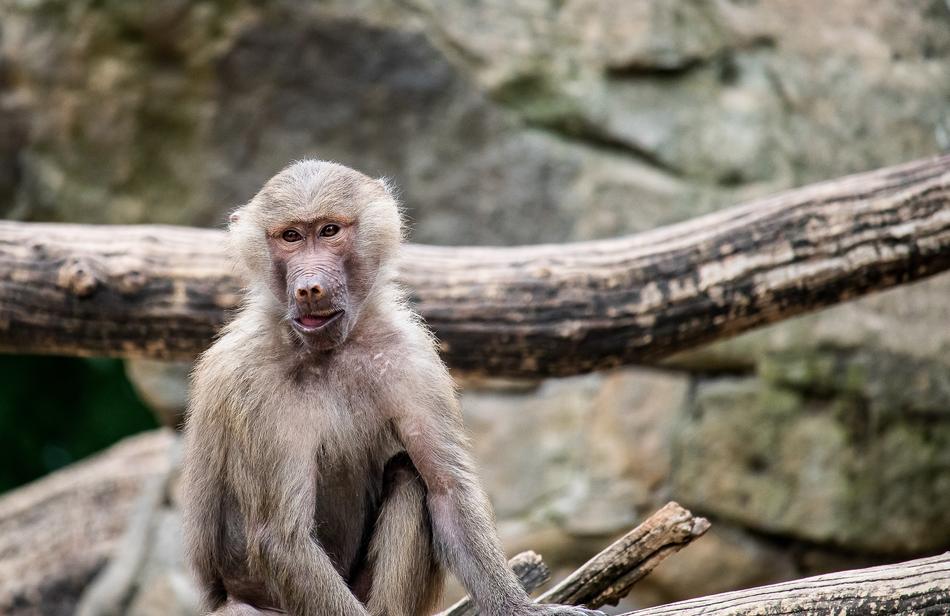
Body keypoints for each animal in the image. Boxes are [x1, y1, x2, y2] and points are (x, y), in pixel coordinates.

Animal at [181, 160, 605, 616]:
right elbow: (282, 537)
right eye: (290, 236)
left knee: (409, 478)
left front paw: (524, 609)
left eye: (329, 230)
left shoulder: (410, 357)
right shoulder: (253, 381)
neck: (331, 352)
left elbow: (447, 491)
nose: (309, 288)